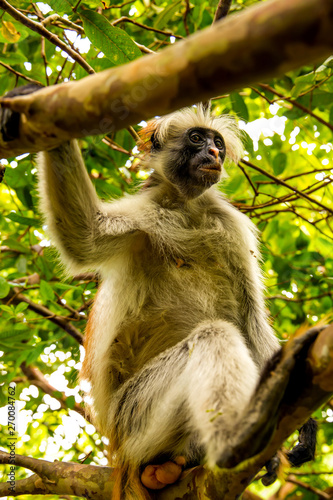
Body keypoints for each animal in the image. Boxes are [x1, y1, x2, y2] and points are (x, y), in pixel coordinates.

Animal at [0, 85, 316, 496]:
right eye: (196, 138)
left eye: (216, 142)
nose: (213, 153)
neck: (187, 210)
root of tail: (121, 451)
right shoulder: (148, 212)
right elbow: (85, 237)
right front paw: (36, 101)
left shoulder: (231, 229)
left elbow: (250, 320)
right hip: (134, 415)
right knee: (213, 335)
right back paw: (234, 438)